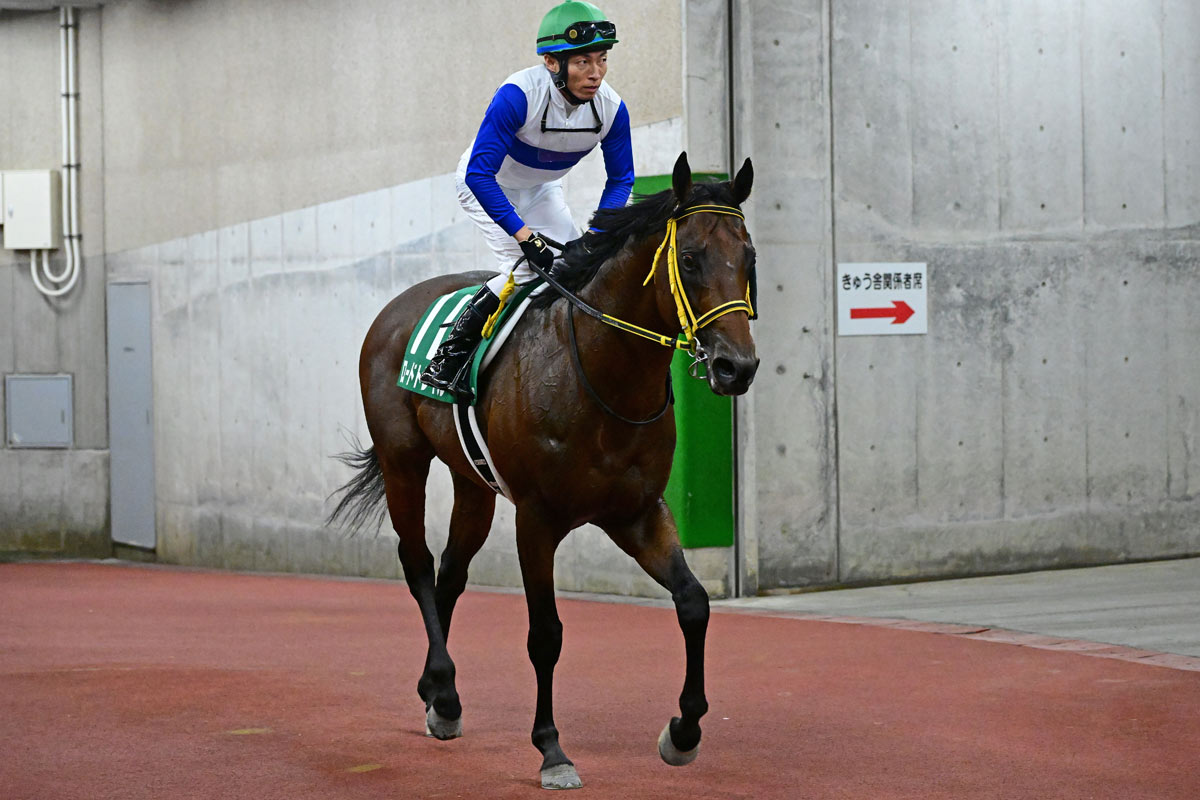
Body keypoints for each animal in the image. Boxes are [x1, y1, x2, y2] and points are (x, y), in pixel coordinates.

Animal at [329, 152, 759, 789]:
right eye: (689, 258)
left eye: (748, 258)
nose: (736, 367)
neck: (603, 381)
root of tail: (396, 305)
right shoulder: (536, 519)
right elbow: (546, 635)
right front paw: (552, 749)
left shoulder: (637, 512)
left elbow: (694, 602)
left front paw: (683, 732)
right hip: (402, 458)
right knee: (418, 564)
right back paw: (444, 690)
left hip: (472, 481)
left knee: (451, 571)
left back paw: (440, 693)